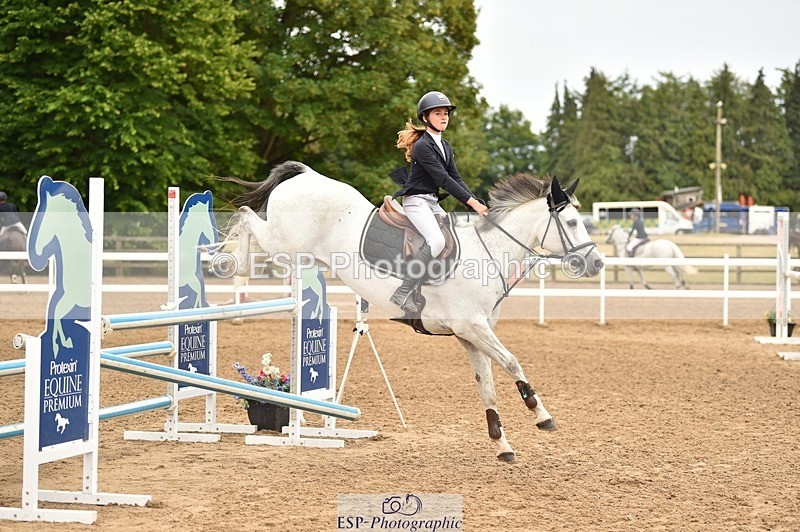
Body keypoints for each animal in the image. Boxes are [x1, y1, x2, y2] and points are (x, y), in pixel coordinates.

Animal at [28, 176, 93, 358]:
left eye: (46, 219)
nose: (39, 253)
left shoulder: (71, 299)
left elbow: (56, 313)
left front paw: (59, 345)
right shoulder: (68, 299)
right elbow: (56, 314)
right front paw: (60, 344)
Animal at [224, 161, 604, 462]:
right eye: (572, 223)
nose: (597, 263)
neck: (489, 253)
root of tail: (307, 176)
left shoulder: (470, 335)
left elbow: (487, 385)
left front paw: (502, 445)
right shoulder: (473, 327)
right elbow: (512, 363)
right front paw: (541, 415)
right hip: (284, 244)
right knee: (245, 219)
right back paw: (231, 262)